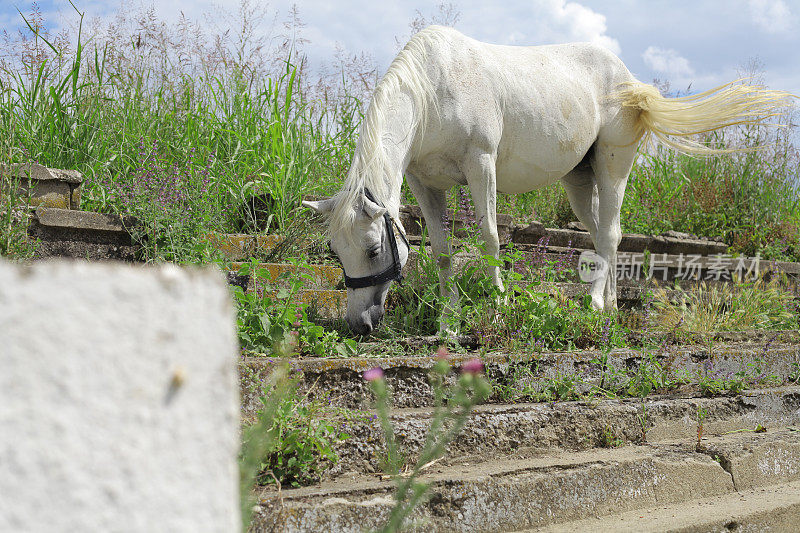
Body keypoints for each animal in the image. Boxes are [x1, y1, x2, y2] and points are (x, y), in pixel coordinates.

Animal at [304, 27, 792, 334]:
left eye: (372, 249)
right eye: (337, 252)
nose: (360, 324)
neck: (432, 91)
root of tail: (631, 81)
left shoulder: (481, 165)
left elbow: (490, 237)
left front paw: (499, 309)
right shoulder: (425, 183)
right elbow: (442, 251)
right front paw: (448, 320)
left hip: (614, 166)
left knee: (610, 233)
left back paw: (596, 305)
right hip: (579, 179)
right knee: (603, 233)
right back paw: (610, 307)